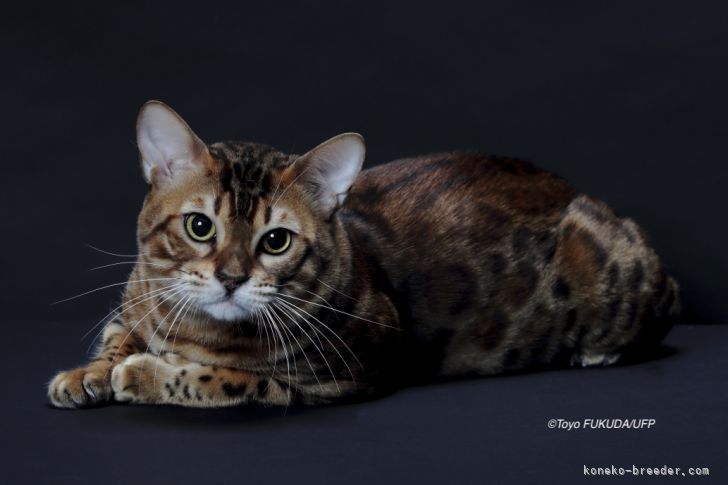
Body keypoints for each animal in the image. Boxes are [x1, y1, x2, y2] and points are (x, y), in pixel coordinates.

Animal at [48, 102, 680, 408]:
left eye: (275, 241)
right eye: (200, 226)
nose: (229, 278)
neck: (195, 327)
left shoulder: (344, 373)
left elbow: (226, 378)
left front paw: (143, 374)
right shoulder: (137, 303)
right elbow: (119, 333)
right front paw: (86, 374)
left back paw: (597, 352)